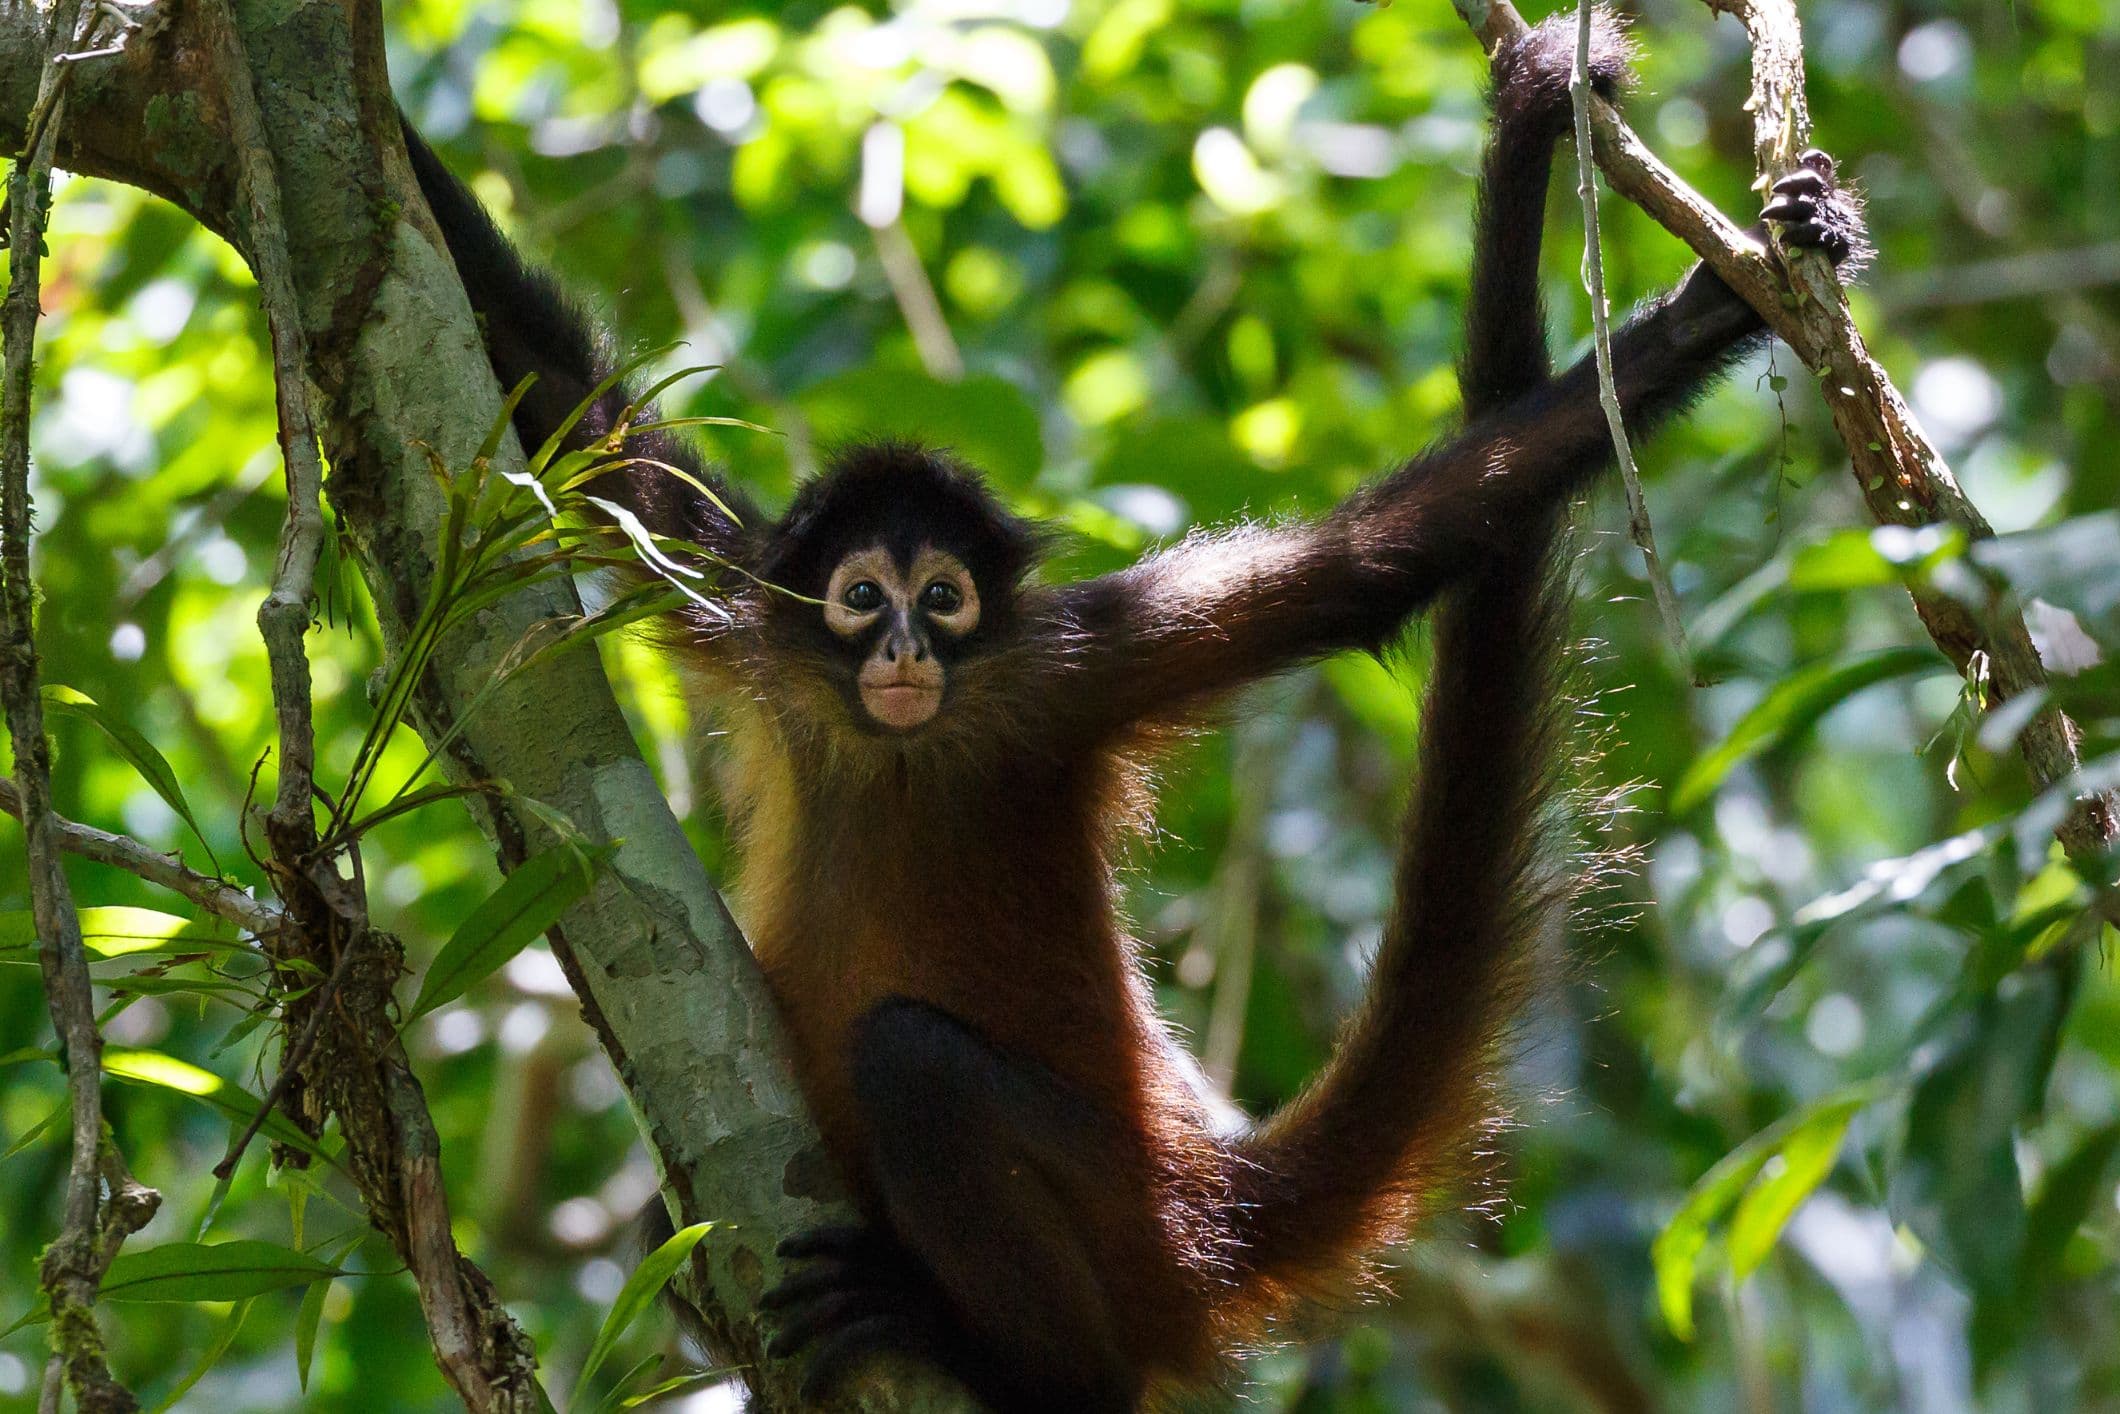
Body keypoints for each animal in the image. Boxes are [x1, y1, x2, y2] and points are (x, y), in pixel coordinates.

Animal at [404, 16, 1865, 1407]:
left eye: (942, 598)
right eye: (863, 593)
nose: (900, 646)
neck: (907, 745)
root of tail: (1206, 1203)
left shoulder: (1072, 662)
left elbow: (1382, 559)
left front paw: (1703, 318)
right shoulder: (756, 608)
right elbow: (572, 421)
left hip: (1112, 1210)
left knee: (912, 1066)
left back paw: (1024, 1366)